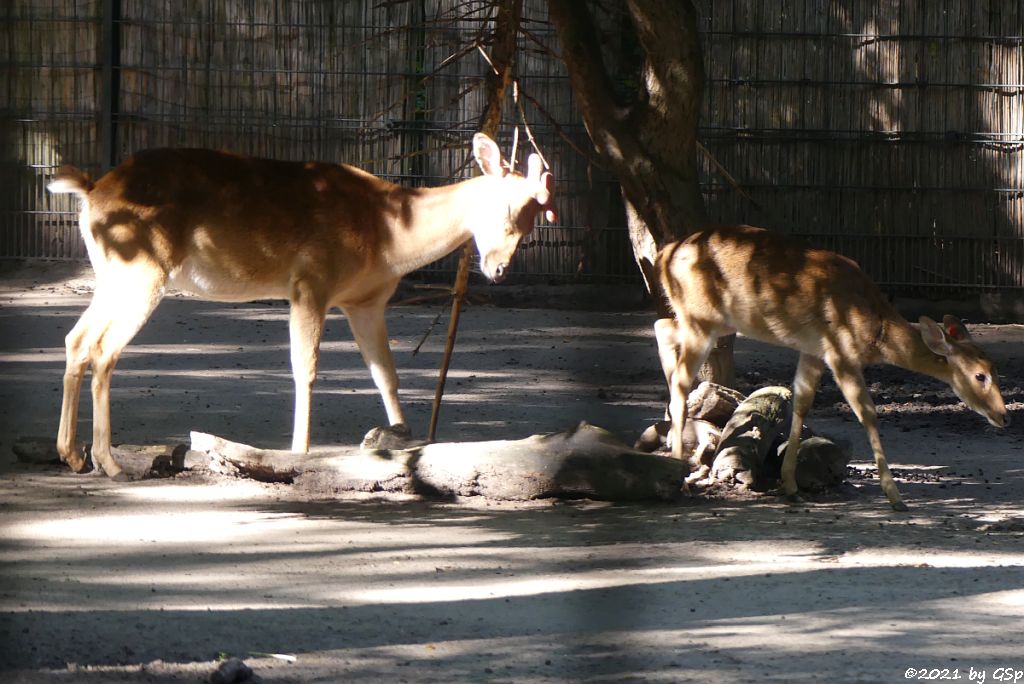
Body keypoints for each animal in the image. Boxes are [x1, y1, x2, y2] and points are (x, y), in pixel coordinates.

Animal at [46, 131, 561, 479]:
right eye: (506, 209)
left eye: (537, 217)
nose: (498, 268)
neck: (390, 232)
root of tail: (91, 191)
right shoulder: (310, 281)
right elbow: (305, 367)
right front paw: (297, 452)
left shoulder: (366, 301)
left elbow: (386, 373)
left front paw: (401, 436)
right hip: (142, 269)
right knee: (105, 349)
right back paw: (109, 462)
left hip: (113, 273)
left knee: (76, 339)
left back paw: (72, 454)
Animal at [655, 224, 1007, 507]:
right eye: (980, 375)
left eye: (996, 368)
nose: (1003, 416)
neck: (875, 328)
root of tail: (662, 256)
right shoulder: (841, 351)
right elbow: (867, 412)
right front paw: (895, 498)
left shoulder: (813, 350)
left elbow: (802, 401)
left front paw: (791, 486)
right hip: (702, 317)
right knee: (682, 376)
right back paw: (679, 475)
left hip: (712, 321)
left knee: (663, 327)